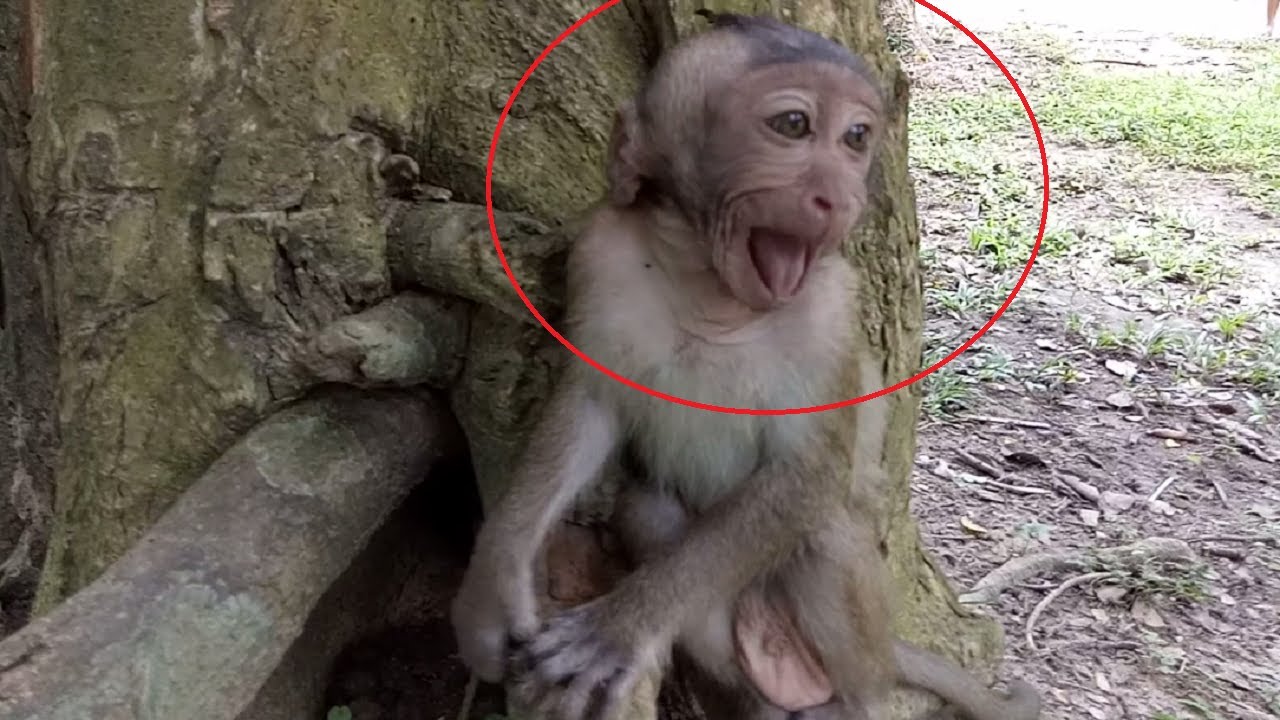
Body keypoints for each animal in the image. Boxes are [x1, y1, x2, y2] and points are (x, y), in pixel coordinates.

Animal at [450, 13, 1041, 720]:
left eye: (855, 138)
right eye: (792, 126)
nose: (842, 194)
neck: (714, 294)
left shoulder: (830, 309)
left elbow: (808, 472)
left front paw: (617, 628)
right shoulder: (600, 251)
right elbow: (589, 402)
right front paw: (495, 578)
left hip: (854, 630)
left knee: (826, 537)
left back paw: (853, 699)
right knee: (651, 514)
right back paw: (765, 694)